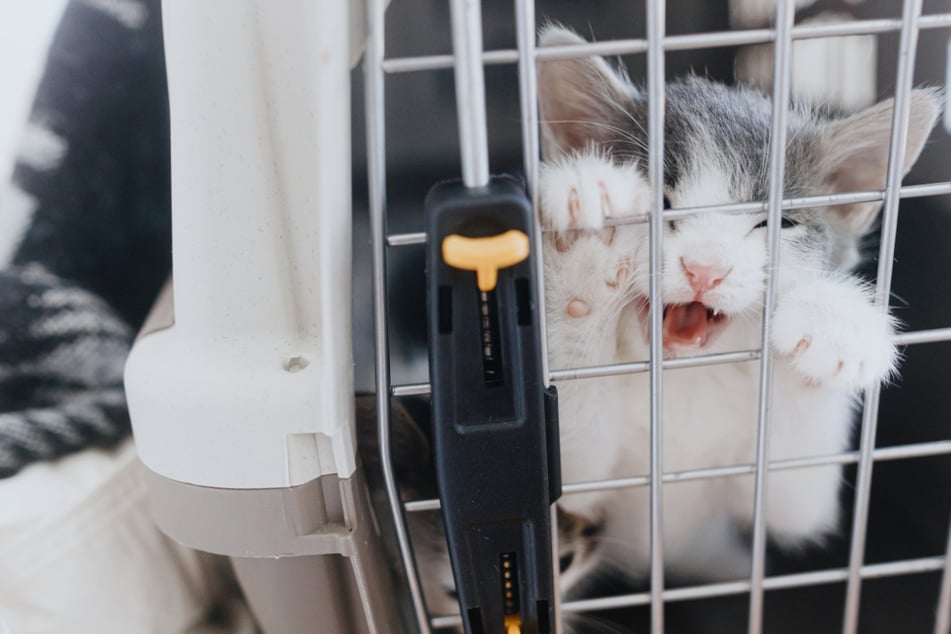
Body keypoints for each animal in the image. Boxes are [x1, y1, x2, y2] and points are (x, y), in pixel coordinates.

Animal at [536, 27, 944, 580]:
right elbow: (574, 470)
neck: (688, 383)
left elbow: (798, 496)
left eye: (777, 222)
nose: (705, 268)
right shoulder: (587, 492)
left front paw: (833, 327)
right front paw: (585, 247)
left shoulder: (792, 500)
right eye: (659, 205)